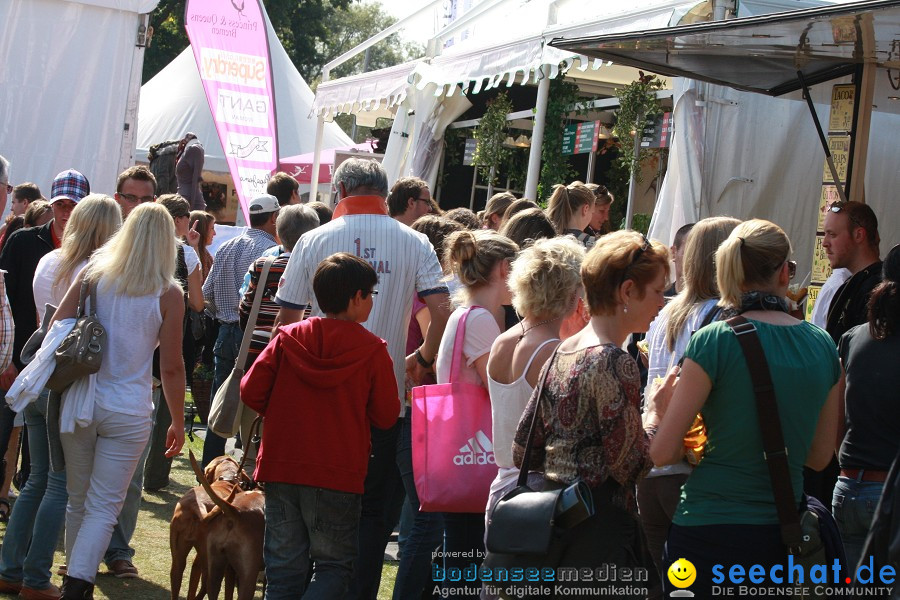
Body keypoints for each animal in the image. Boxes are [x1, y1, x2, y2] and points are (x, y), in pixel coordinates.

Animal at [168, 454, 246, 600]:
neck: (227, 481)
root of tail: (198, 506)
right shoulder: (229, 568)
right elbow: (228, 592)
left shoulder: (197, 562)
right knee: (209, 586)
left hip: (179, 557)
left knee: (177, 575)